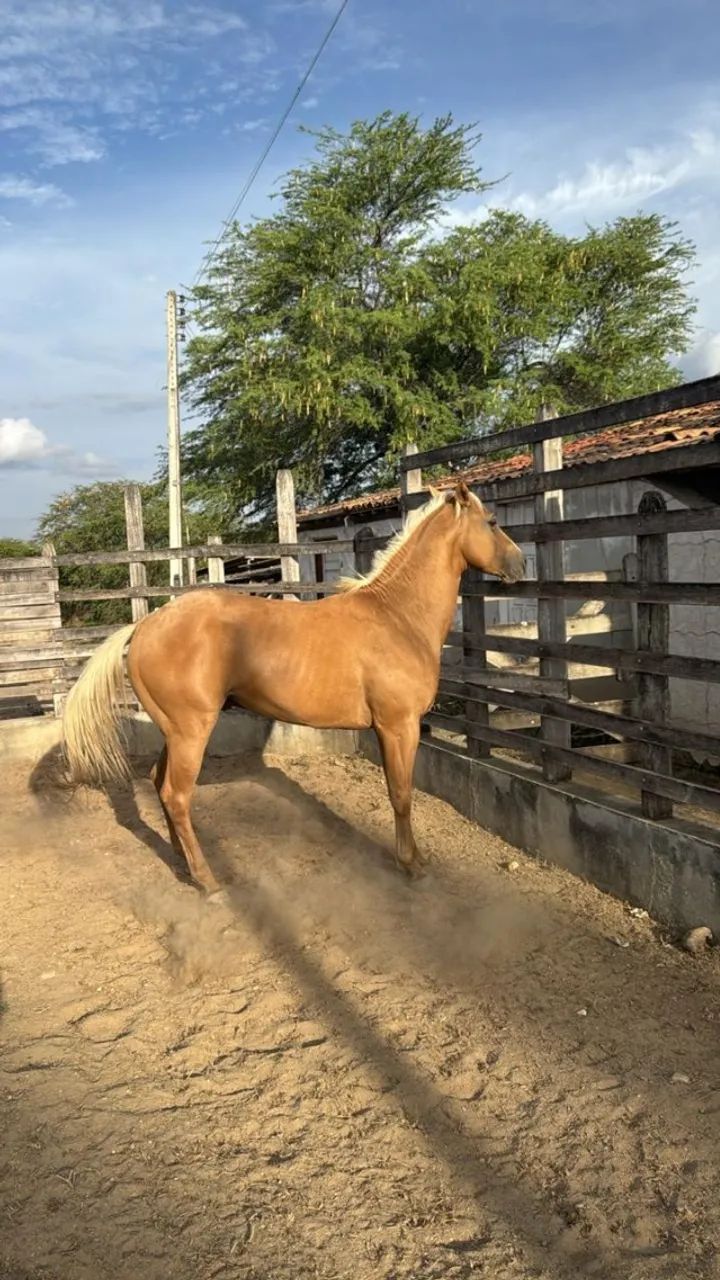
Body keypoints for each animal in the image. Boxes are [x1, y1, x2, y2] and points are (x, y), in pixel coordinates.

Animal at [62, 483, 525, 894]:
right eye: (492, 520)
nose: (520, 565)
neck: (396, 616)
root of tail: (144, 626)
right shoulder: (399, 726)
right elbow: (402, 795)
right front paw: (412, 865)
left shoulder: (385, 729)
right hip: (191, 732)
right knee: (176, 795)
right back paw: (208, 879)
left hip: (173, 733)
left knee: (159, 784)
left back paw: (184, 862)